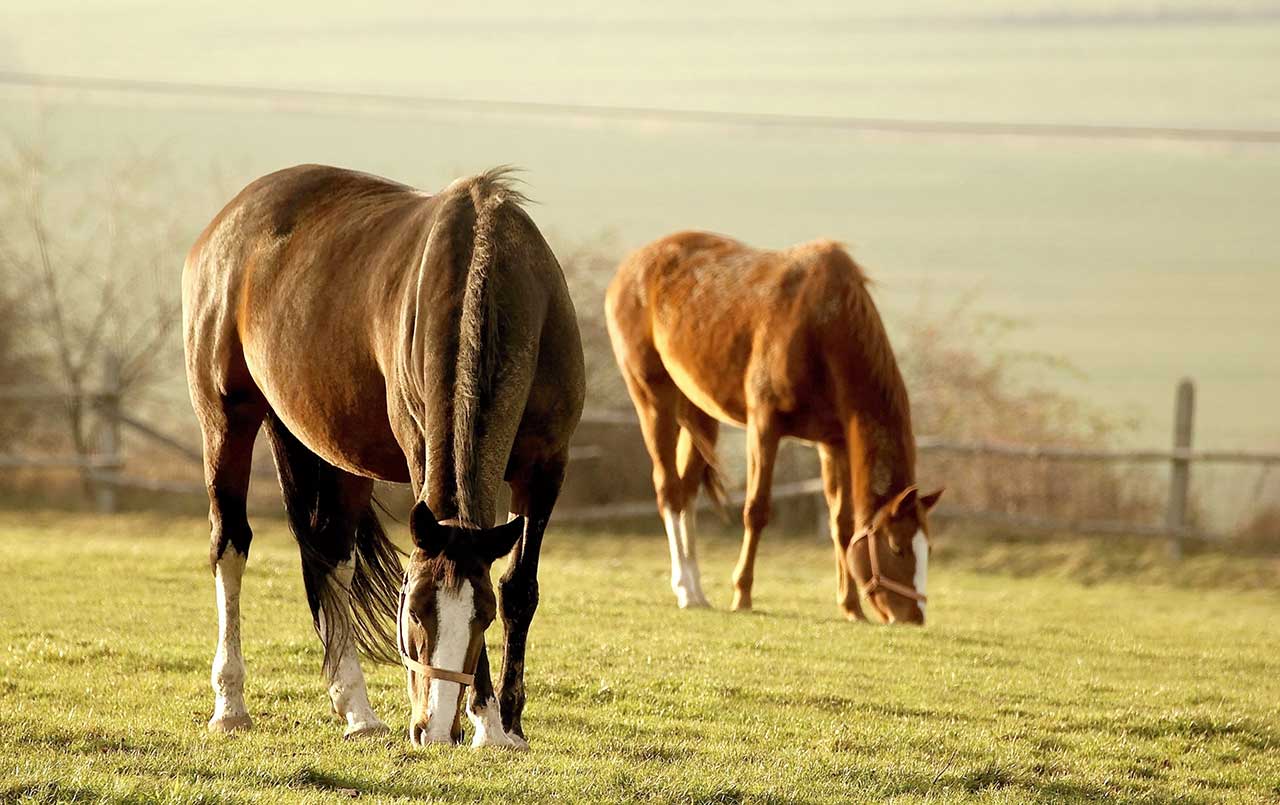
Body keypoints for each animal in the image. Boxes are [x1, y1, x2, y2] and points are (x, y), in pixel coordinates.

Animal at [185, 163, 586, 747]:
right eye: (413, 610)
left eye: (483, 617)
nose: (434, 729)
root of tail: (227, 221)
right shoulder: (422, 452)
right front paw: (487, 720)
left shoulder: (547, 468)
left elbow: (519, 588)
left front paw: (505, 724)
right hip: (225, 420)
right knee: (230, 546)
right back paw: (231, 704)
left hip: (338, 455)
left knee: (333, 555)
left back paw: (358, 710)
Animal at [604, 230, 947, 621]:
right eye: (896, 546)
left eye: (928, 549)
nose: (913, 617)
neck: (822, 327)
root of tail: (633, 265)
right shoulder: (764, 426)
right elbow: (757, 510)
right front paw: (742, 595)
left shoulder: (833, 443)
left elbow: (842, 525)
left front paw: (851, 608)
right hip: (652, 397)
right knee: (669, 490)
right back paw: (687, 590)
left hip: (699, 411)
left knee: (687, 490)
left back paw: (697, 589)